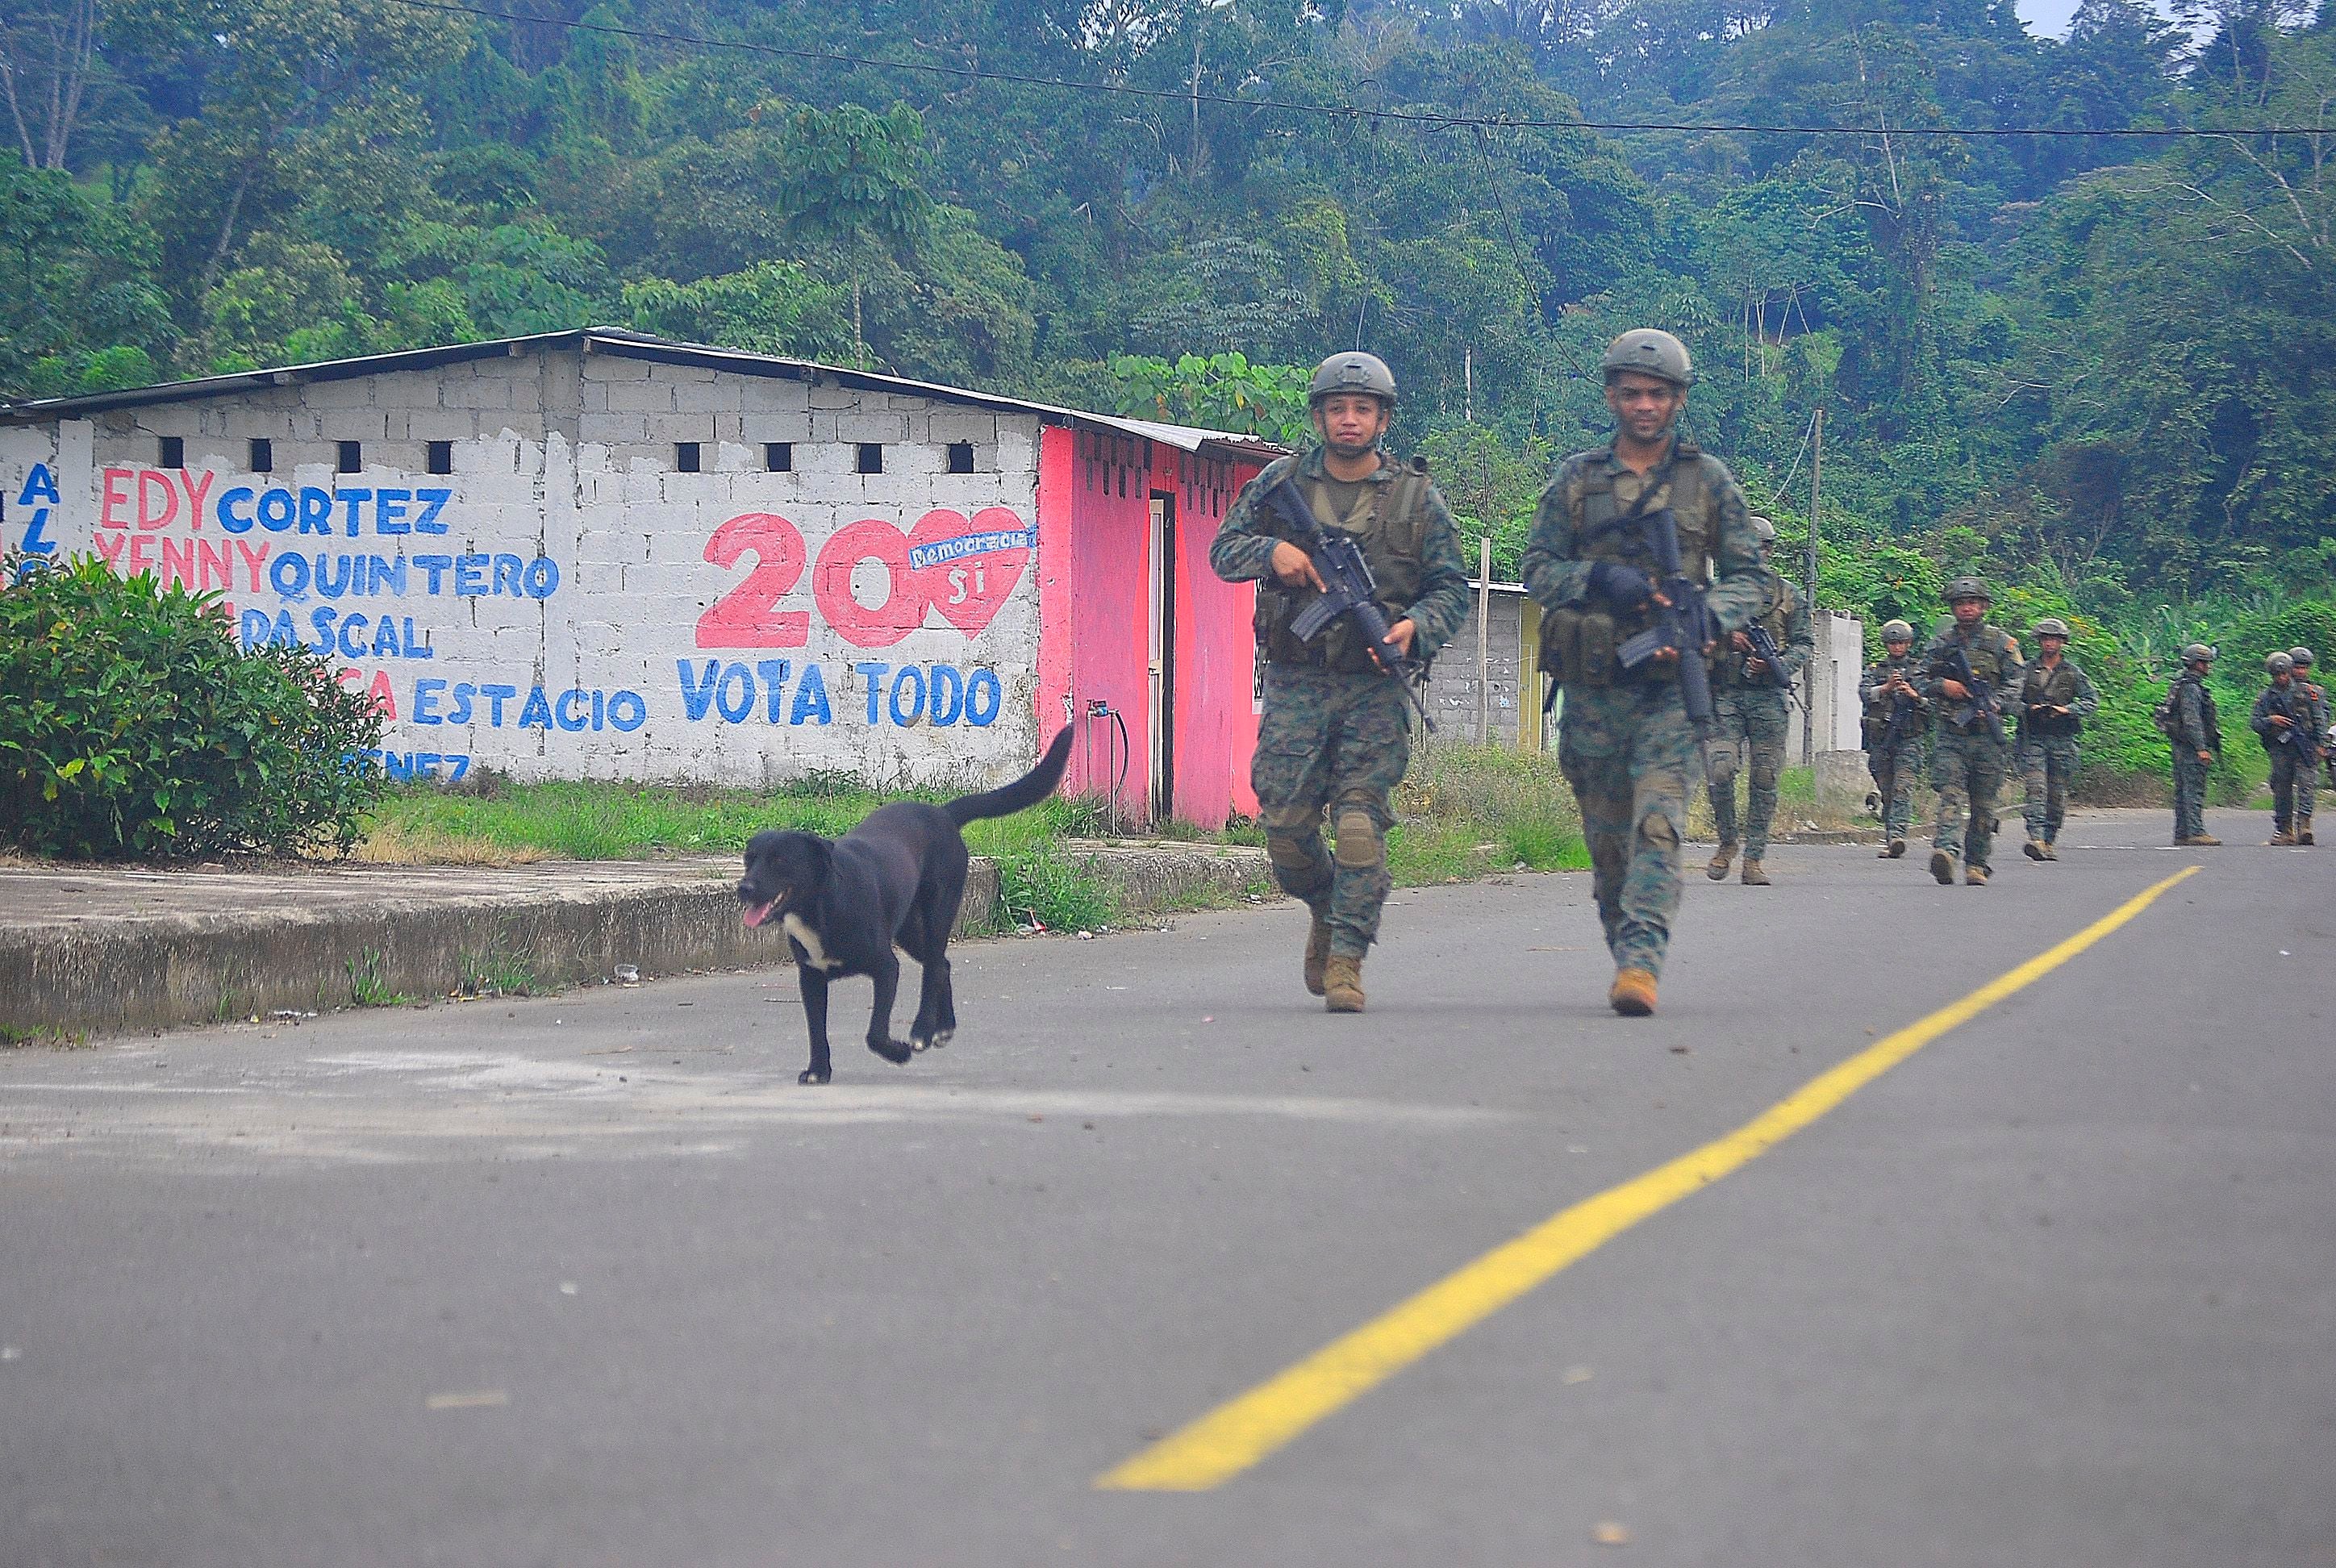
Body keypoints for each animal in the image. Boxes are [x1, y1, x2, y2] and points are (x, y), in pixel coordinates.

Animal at [733, 728, 1070, 1084]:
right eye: (749, 860)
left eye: (780, 861)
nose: (744, 888)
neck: (822, 906)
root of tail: (942, 815)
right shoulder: (810, 978)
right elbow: (817, 1031)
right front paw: (818, 1070)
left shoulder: (886, 968)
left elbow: (875, 1034)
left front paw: (898, 1052)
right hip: (908, 931)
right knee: (942, 965)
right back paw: (944, 1028)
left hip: (938, 913)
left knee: (934, 966)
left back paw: (922, 1031)